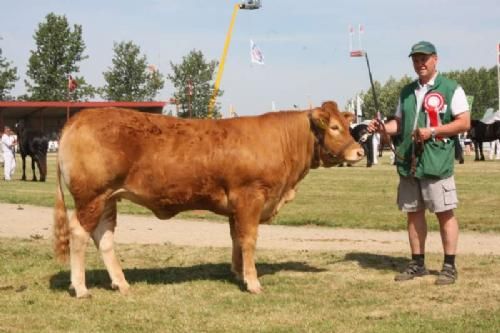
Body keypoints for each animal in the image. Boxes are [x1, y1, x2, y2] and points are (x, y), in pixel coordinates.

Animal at [52, 100, 364, 296]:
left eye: (347, 125)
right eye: (334, 128)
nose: (359, 151)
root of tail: (78, 118)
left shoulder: (236, 207)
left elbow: (236, 238)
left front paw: (238, 273)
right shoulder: (250, 197)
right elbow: (249, 239)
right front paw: (252, 282)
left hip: (108, 199)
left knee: (103, 237)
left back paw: (121, 283)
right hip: (91, 197)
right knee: (79, 233)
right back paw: (81, 288)